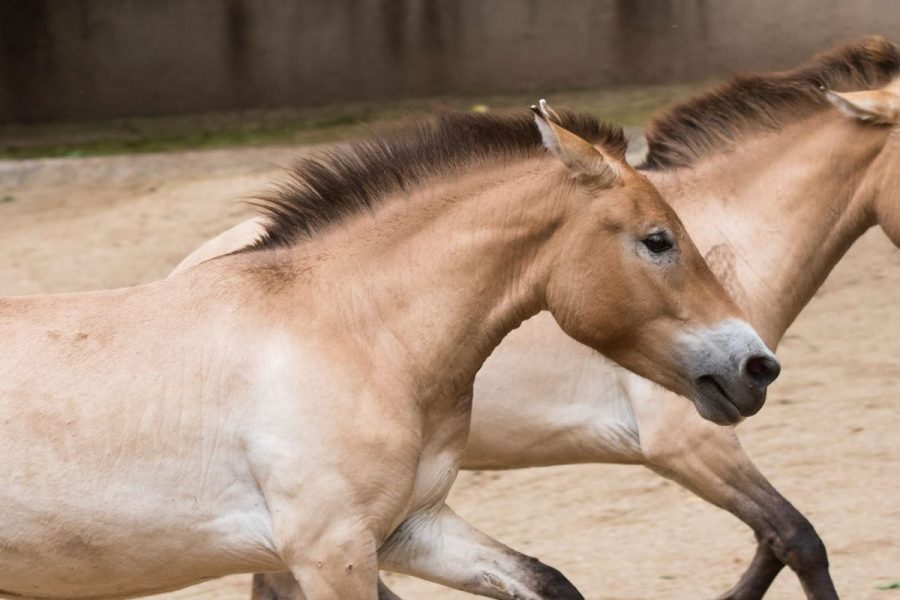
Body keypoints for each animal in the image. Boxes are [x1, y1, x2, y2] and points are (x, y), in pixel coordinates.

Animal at [0, 103, 778, 600]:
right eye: (658, 240)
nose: (756, 366)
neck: (355, 331)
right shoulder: (333, 552)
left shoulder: (413, 528)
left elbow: (549, 582)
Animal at [176, 38, 900, 600]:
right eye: (658, 242)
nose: (757, 369)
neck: (733, 237)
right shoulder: (690, 444)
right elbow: (798, 539)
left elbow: (773, 544)